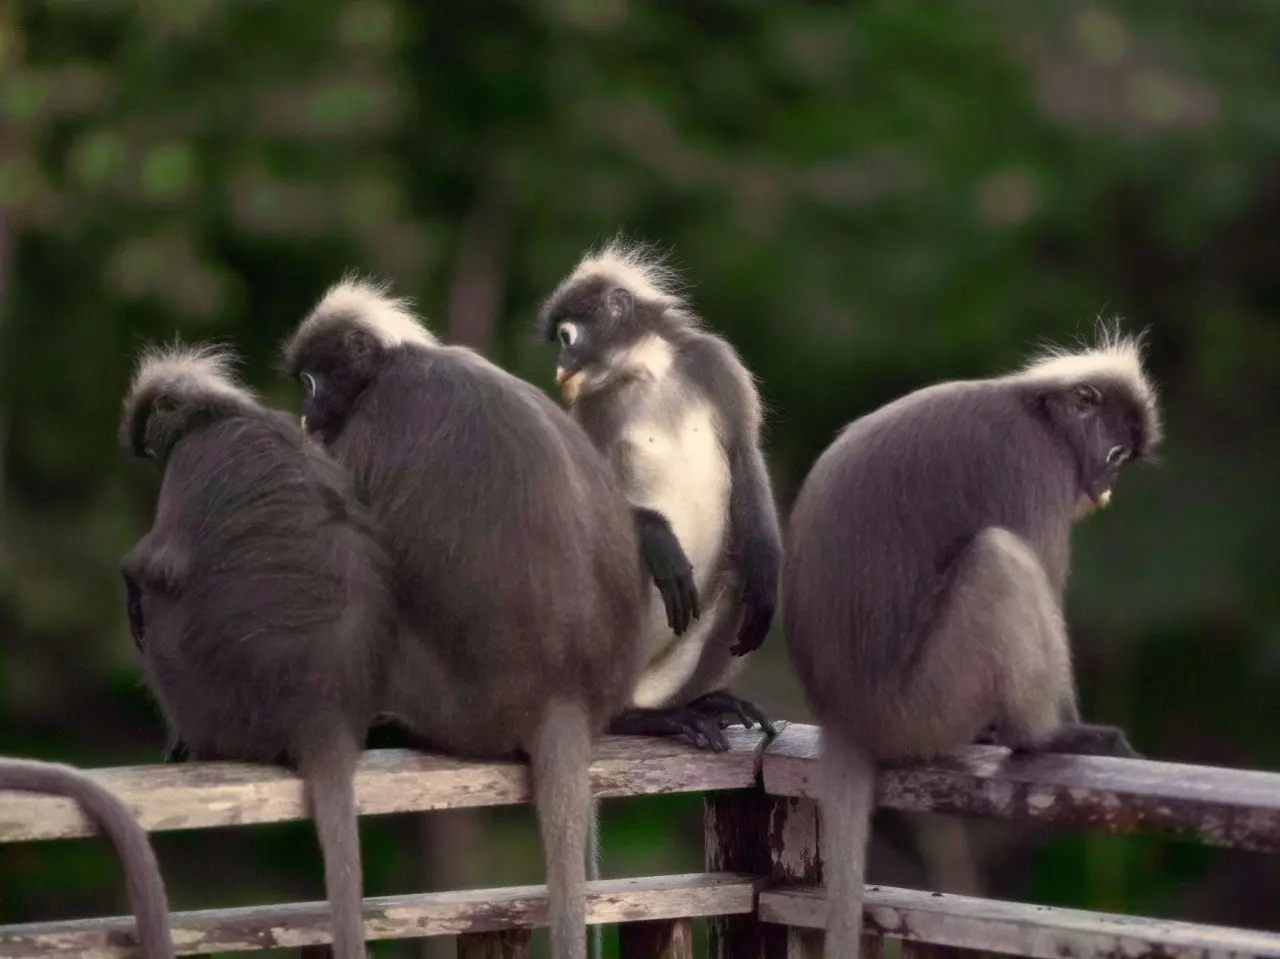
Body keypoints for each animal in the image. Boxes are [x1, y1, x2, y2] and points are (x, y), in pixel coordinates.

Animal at [122, 343, 399, 957]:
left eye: (151, 442)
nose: (148, 454)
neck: (228, 412)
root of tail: (323, 710)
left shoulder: (194, 456)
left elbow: (154, 568)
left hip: (207, 698)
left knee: (159, 608)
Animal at [279, 276, 640, 957]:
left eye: (311, 382)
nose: (306, 416)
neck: (397, 363)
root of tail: (564, 691)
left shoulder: (371, 426)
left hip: (449, 700)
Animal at [783, 327, 1167, 957]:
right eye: (1113, 457)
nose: (1104, 487)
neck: (1036, 411)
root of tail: (841, 719)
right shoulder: (1032, 466)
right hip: (920, 708)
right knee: (999, 558)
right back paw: (1040, 737)